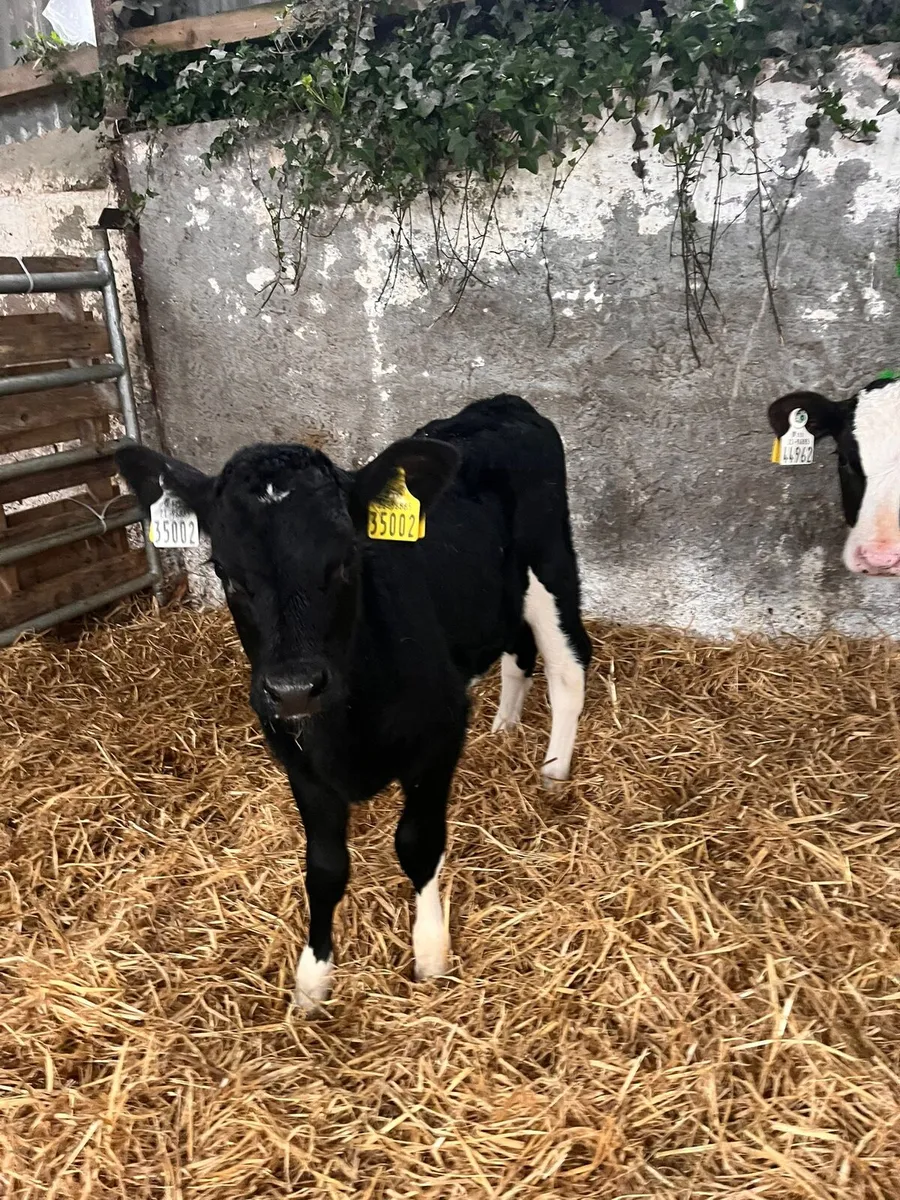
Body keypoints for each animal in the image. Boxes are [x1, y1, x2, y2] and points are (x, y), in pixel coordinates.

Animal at [115, 395, 592, 1009]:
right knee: (516, 651)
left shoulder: (438, 737)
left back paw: (554, 771)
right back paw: (505, 726)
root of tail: (504, 403)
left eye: (345, 560)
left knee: (568, 667)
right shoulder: (297, 758)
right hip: (499, 594)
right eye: (225, 572)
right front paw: (312, 979)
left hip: (551, 566)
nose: (294, 687)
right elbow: (323, 867)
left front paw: (430, 953)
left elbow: (418, 844)